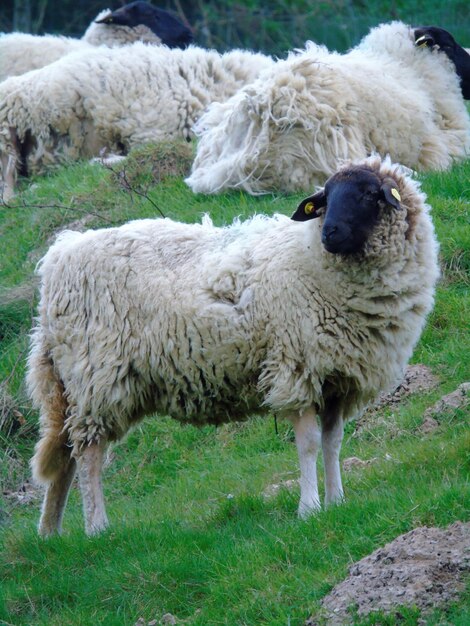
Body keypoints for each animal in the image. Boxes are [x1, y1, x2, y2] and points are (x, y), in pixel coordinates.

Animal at [28, 154, 440, 532]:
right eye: (325, 198)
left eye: (369, 194)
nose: (330, 233)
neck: (315, 261)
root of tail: (57, 258)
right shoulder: (295, 367)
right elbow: (308, 443)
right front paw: (309, 508)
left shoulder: (337, 377)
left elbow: (333, 441)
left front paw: (337, 500)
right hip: (95, 377)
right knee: (88, 452)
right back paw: (96, 527)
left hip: (75, 384)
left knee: (65, 455)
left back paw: (52, 535)